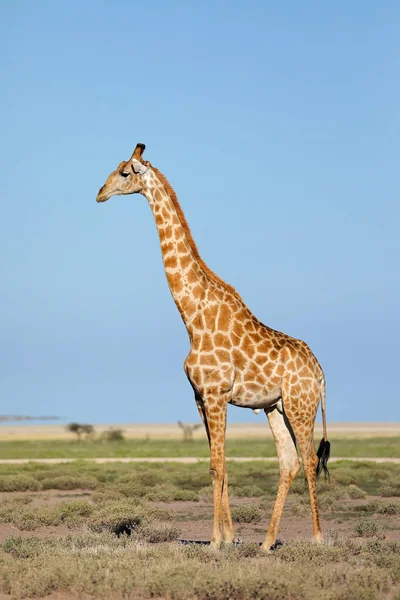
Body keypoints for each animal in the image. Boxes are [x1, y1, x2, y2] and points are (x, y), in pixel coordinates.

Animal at [97, 143, 332, 552]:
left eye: (125, 172)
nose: (100, 193)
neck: (192, 316)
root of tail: (320, 372)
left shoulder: (217, 394)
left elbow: (217, 466)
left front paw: (216, 542)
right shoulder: (199, 397)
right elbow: (215, 465)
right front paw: (228, 538)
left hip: (301, 406)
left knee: (308, 459)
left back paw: (317, 539)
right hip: (275, 407)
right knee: (288, 462)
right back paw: (266, 543)